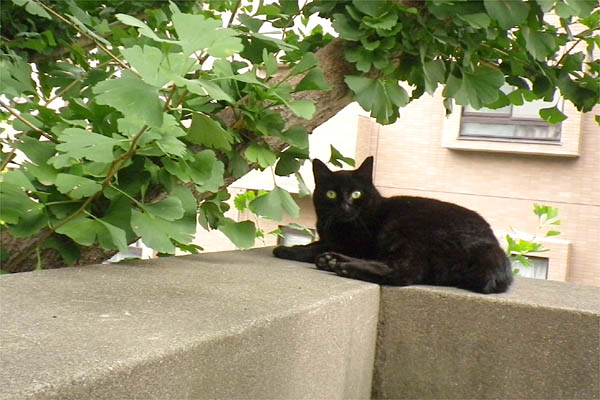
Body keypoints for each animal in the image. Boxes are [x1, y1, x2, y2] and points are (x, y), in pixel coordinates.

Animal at [274, 157, 512, 294]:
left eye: (356, 193)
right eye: (331, 194)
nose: (345, 206)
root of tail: (491, 246)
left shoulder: (354, 244)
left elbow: (312, 247)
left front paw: (286, 249)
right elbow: (315, 244)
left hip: (405, 230)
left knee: (404, 272)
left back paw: (342, 265)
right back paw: (331, 261)